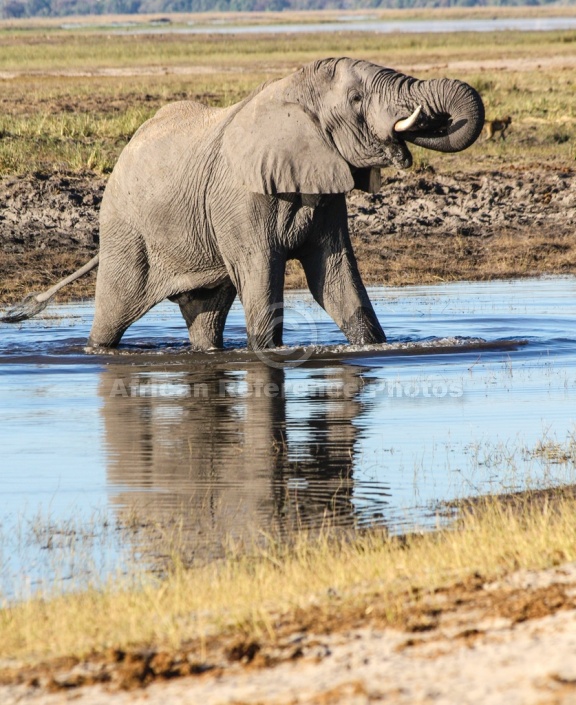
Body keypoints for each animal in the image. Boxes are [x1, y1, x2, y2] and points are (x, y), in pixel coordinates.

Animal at [1, 57, 486, 350]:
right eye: (356, 100)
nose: (427, 117)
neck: (294, 89)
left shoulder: (324, 186)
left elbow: (333, 279)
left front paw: (373, 347)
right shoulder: (241, 200)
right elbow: (263, 273)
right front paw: (266, 352)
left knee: (205, 315)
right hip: (125, 226)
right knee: (114, 312)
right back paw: (97, 349)